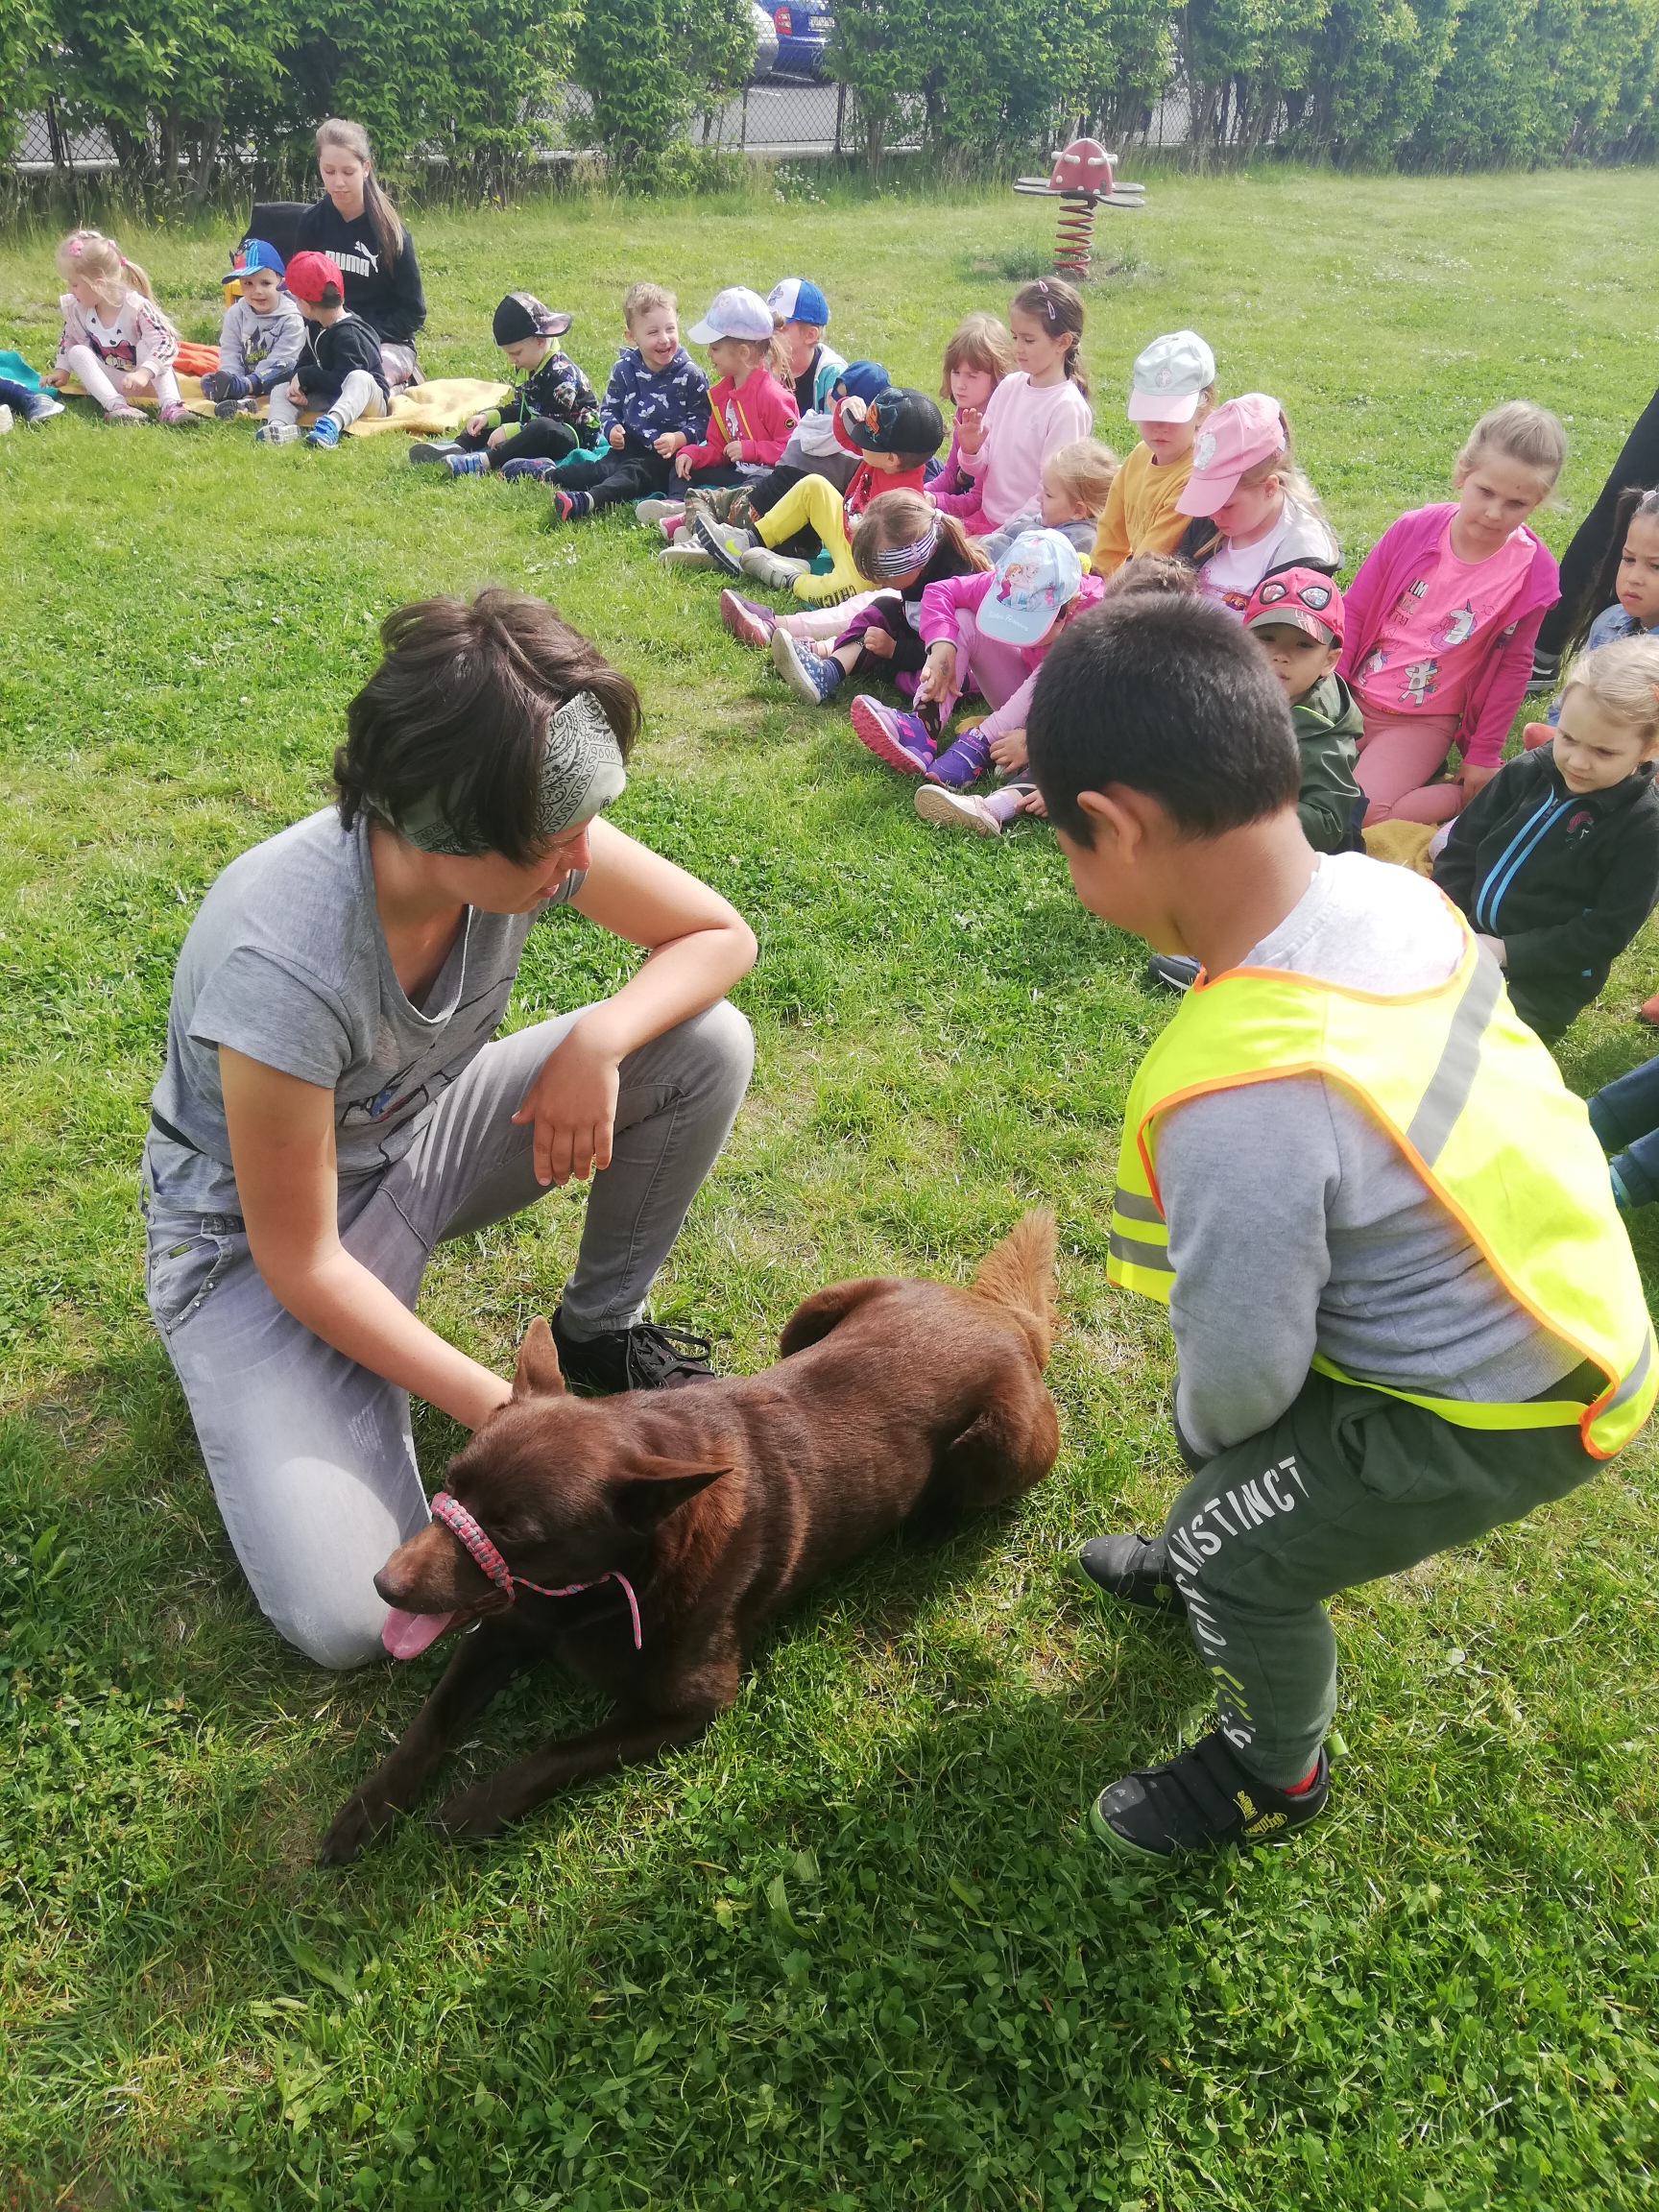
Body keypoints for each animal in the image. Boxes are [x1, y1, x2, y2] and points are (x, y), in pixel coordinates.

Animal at [318, 1212, 1057, 1866]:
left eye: (515, 1532)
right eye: (450, 1485)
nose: (383, 1583)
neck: (608, 1584)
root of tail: (1001, 1316)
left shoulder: (694, 1706)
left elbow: (558, 1753)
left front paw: (473, 1808)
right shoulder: (505, 1625)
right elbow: (433, 1718)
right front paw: (370, 1807)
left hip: (1002, 1447)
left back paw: (930, 1524)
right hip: (814, 1311)